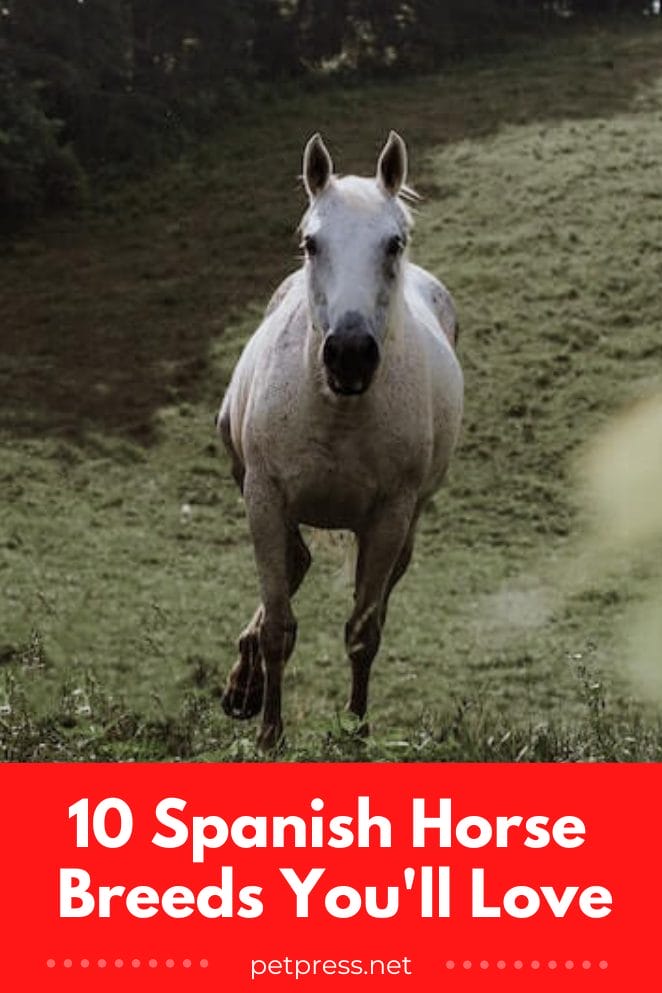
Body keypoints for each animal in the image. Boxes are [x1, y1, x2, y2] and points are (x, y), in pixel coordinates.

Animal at [217, 131, 463, 749]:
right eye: (311, 243)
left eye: (394, 243)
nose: (349, 354)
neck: (337, 410)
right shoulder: (264, 496)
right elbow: (280, 626)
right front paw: (270, 734)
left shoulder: (389, 517)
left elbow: (362, 632)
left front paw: (355, 730)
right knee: (294, 563)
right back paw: (244, 685)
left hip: (407, 523)